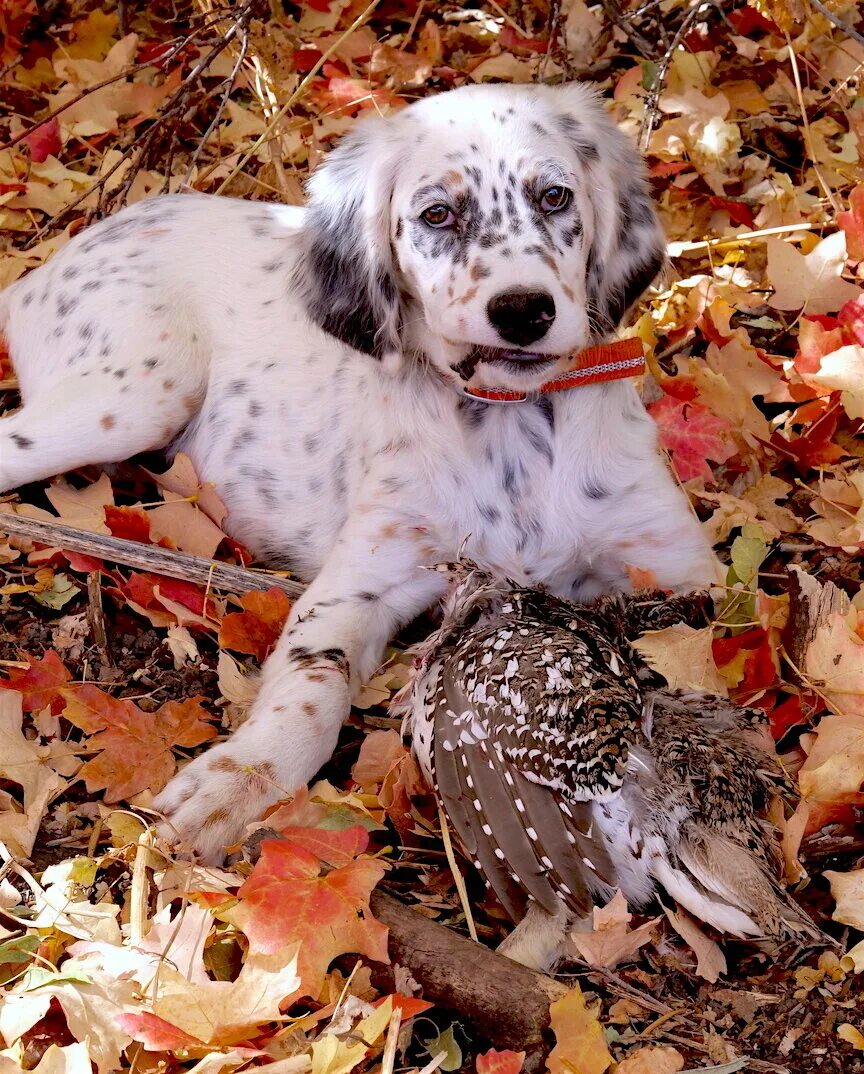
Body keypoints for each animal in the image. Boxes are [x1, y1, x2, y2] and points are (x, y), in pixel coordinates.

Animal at [0, 81, 713, 863]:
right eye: (437, 215)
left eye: (554, 196)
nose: (523, 311)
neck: (512, 422)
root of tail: (42, 269)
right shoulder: (360, 583)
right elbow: (314, 684)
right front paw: (236, 783)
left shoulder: (683, 569)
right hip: (138, 395)